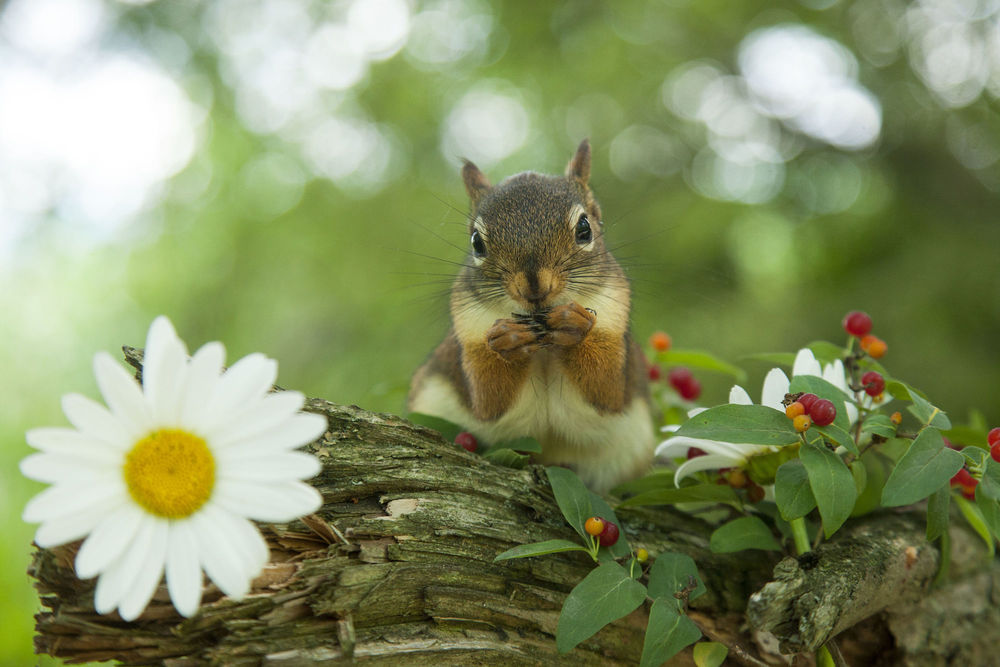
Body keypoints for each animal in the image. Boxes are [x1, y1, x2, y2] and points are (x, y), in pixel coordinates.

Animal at [408, 138, 656, 490]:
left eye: (584, 228)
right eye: (476, 242)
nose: (534, 286)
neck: (545, 348)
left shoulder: (613, 318)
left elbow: (605, 390)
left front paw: (574, 326)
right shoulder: (470, 332)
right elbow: (489, 402)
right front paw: (508, 339)